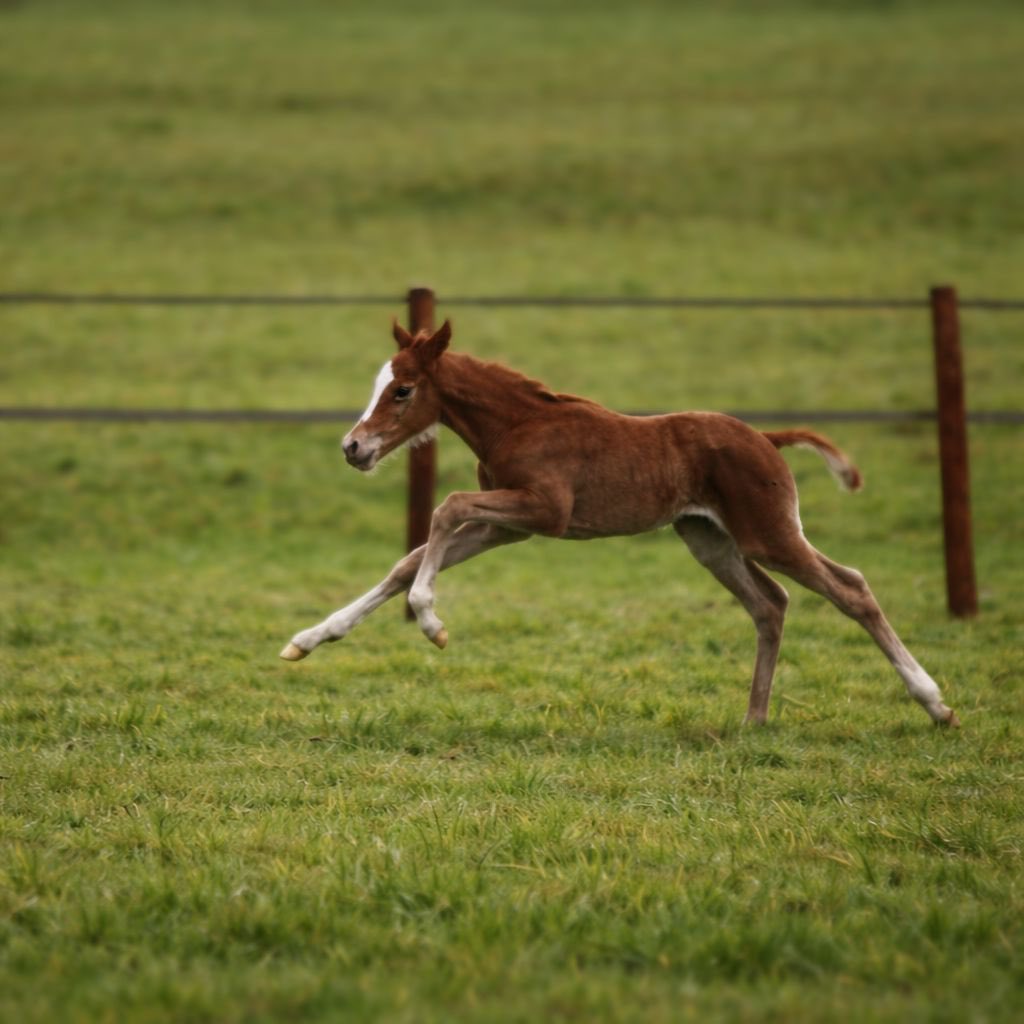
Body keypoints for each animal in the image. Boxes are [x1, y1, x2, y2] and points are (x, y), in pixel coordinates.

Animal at [280, 320, 959, 728]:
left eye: (403, 390)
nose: (354, 447)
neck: (518, 423)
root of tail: (767, 439)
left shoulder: (543, 511)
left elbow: (445, 508)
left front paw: (432, 623)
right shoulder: (509, 523)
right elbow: (410, 559)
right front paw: (310, 638)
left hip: (768, 532)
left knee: (850, 587)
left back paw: (935, 703)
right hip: (709, 538)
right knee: (770, 604)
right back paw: (753, 721)